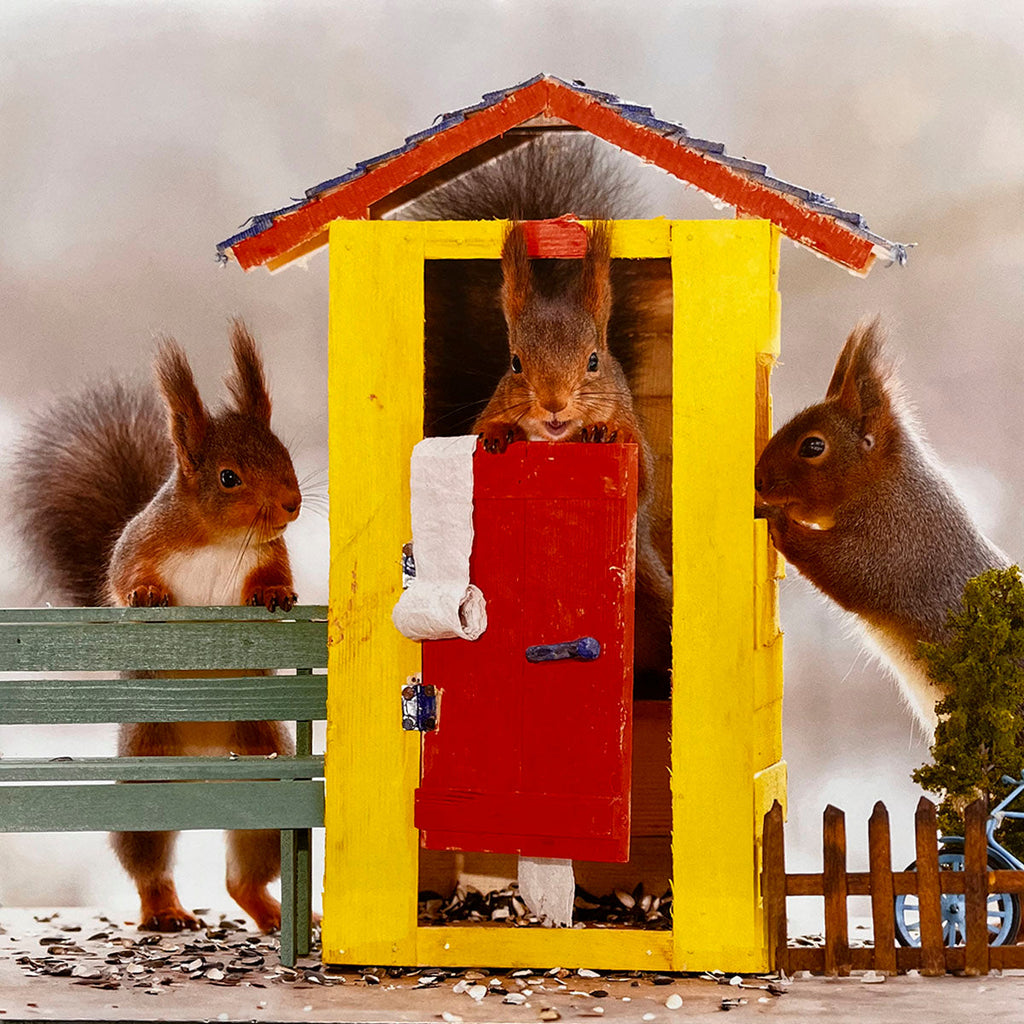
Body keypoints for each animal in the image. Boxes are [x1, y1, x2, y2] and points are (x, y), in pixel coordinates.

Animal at [11, 320, 302, 933]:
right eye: (228, 477)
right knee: (147, 861)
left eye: (284, 453)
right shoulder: (139, 544)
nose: (292, 503)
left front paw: (275, 595)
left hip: (265, 773)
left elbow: (276, 578)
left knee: (243, 877)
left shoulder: (268, 554)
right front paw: (147, 594)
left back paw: (272, 913)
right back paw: (164, 909)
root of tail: (206, 773)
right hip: (144, 780)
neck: (218, 539)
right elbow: (121, 580)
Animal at [408, 136, 673, 696]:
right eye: (514, 363)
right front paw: (500, 433)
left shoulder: (638, 452)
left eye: (594, 360)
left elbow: (641, 477)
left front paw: (603, 428)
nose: (553, 403)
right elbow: (484, 429)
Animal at [754, 318, 1008, 737]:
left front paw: (778, 519)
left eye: (812, 446)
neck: (884, 486)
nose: (757, 481)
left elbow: (848, 570)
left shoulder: (896, 544)